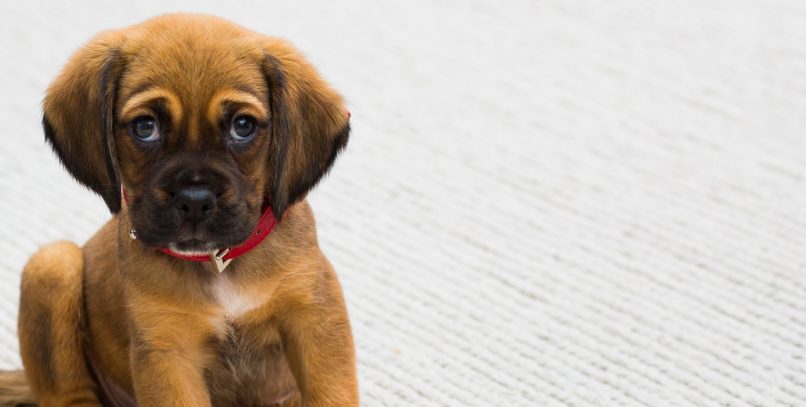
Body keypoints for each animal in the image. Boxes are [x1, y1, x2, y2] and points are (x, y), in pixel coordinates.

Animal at [2, 13, 356, 407]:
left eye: (243, 126)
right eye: (145, 127)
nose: (195, 200)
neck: (219, 265)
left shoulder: (314, 319)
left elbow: (331, 394)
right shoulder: (168, 352)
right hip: (51, 264)